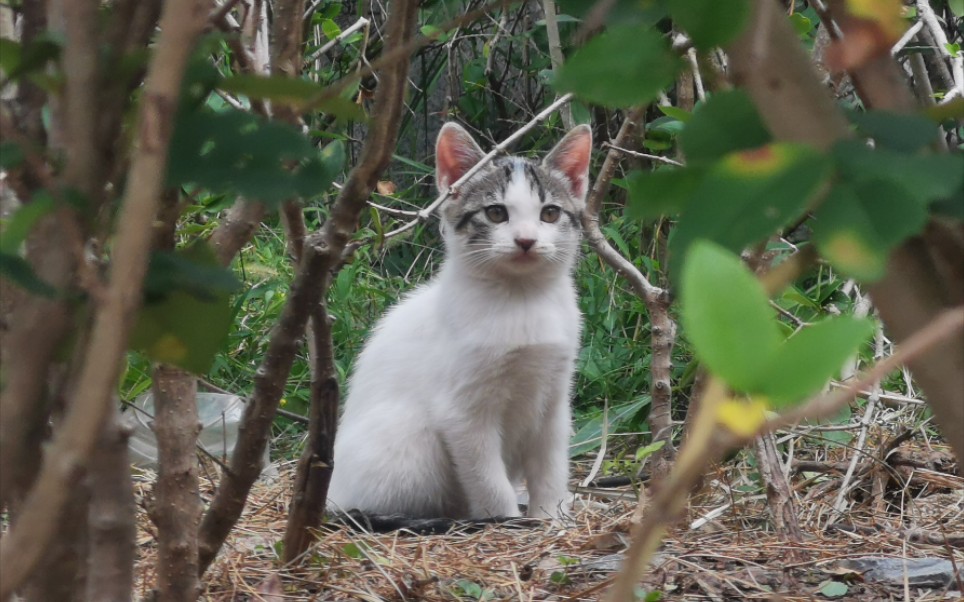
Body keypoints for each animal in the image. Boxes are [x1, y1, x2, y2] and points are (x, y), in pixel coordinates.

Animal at [328, 120, 592, 516]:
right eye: (496, 213)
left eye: (550, 213)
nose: (526, 240)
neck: (521, 298)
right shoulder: (462, 413)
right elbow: (487, 480)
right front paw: (507, 519)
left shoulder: (555, 398)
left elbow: (551, 465)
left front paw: (550, 515)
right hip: (410, 441)